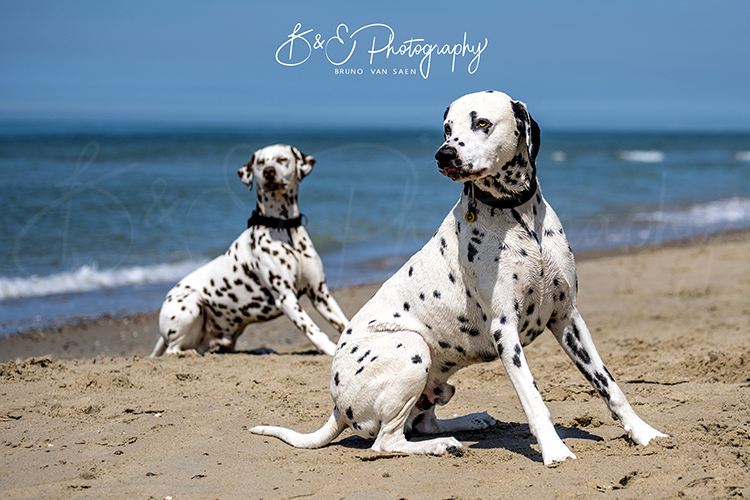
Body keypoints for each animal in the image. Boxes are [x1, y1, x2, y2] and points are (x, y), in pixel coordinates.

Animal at [155, 143, 352, 358]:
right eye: (260, 163)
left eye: (282, 159)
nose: (269, 172)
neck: (284, 229)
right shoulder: (286, 297)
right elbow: (312, 329)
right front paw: (331, 349)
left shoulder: (320, 293)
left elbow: (345, 323)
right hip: (191, 303)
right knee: (172, 350)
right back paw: (187, 353)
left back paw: (261, 349)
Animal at [254, 91, 668, 464]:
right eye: (447, 128)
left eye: (481, 123)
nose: (444, 154)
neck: (518, 218)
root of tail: (337, 406)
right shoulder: (505, 331)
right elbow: (534, 398)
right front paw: (555, 451)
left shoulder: (568, 319)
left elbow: (609, 385)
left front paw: (643, 433)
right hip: (411, 346)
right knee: (387, 442)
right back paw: (442, 445)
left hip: (435, 383)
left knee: (422, 422)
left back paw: (471, 421)